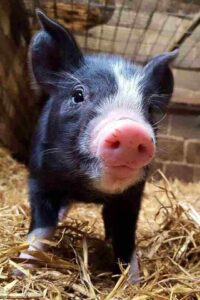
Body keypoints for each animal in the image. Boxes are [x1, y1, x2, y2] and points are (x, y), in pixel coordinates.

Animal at [19, 8, 178, 282]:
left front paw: (132, 282)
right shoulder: (39, 177)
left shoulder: (132, 195)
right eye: (78, 95)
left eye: (149, 108)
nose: (131, 131)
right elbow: (41, 225)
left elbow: (125, 238)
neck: (88, 191)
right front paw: (21, 266)